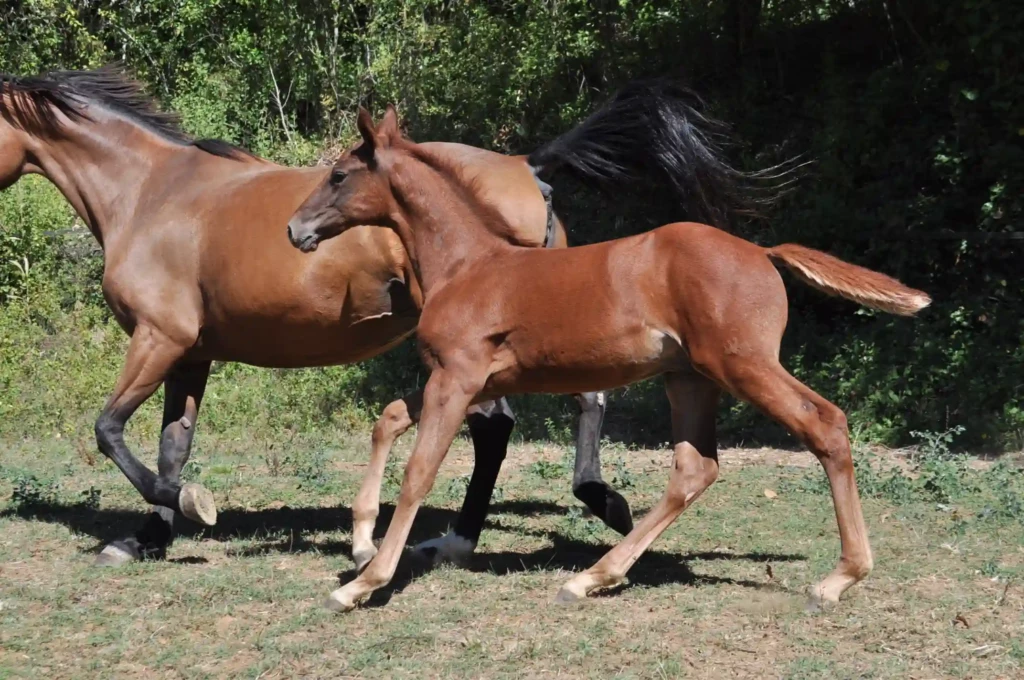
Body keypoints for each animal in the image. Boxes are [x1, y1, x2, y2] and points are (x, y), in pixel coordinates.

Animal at [286, 104, 930, 613]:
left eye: (338, 175)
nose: (295, 230)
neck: (468, 265)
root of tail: (762, 252)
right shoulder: (463, 379)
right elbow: (390, 417)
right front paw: (361, 540)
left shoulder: (458, 377)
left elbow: (419, 471)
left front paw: (363, 583)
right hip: (689, 379)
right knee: (695, 468)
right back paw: (594, 576)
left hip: (743, 366)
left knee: (826, 424)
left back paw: (839, 579)